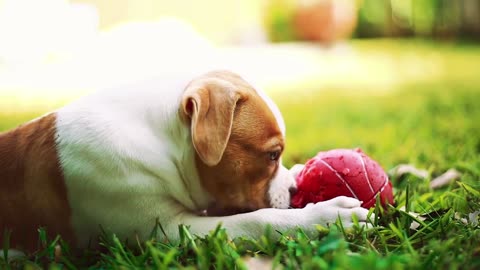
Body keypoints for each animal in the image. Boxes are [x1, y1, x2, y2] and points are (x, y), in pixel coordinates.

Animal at [0, 69, 372, 251]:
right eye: (271, 155)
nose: (295, 190)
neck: (160, 137)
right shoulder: (167, 231)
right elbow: (257, 219)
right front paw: (325, 217)